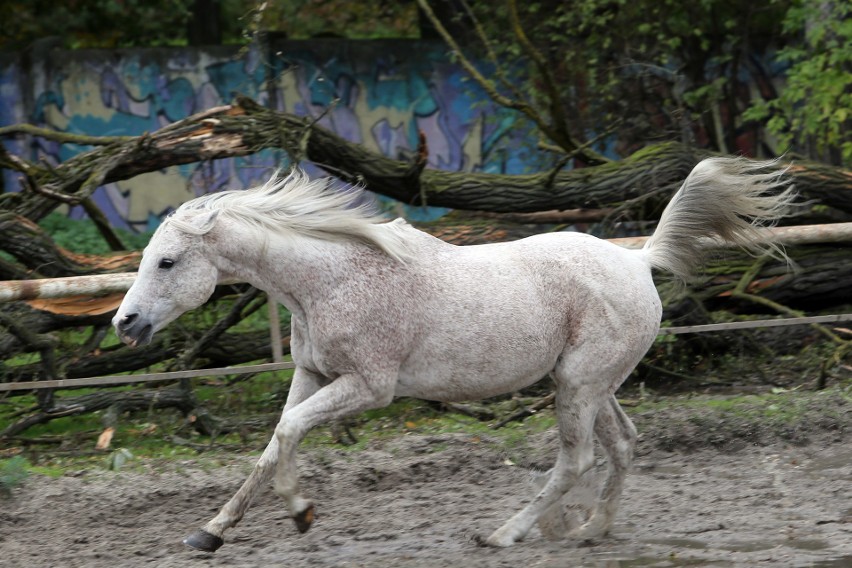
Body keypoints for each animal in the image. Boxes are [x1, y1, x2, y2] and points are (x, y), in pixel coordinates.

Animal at [111, 158, 792, 552]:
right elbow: (275, 442)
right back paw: (591, 529)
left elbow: (288, 433)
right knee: (622, 444)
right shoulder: (311, 373)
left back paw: (505, 534)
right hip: (594, 385)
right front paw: (209, 533)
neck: (327, 280)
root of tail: (638, 260)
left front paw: (302, 512)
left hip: (578, 386)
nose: (125, 323)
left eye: (167, 261)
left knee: (577, 460)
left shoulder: (369, 386)